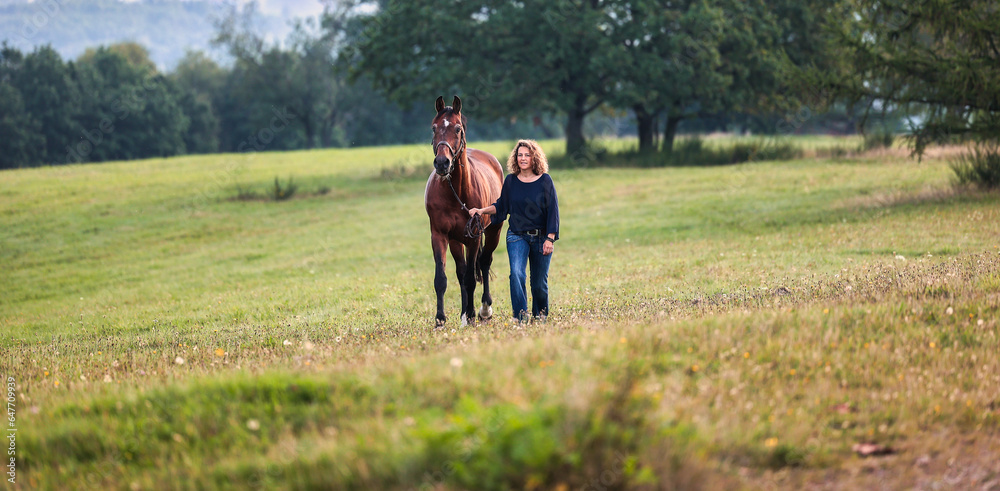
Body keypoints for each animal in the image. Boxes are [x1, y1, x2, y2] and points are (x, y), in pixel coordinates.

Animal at [424, 95, 504, 326]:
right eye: (434, 128)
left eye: (458, 128)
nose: (442, 163)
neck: (455, 193)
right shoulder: (440, 235)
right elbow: (442, 279)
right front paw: (440, 319)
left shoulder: (474, 237)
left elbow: (471, 277)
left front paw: (471, 314)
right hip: (455, 240)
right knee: (461, 271)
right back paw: (463, 313)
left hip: (493, 231)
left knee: (484, 263)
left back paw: (483, 309)